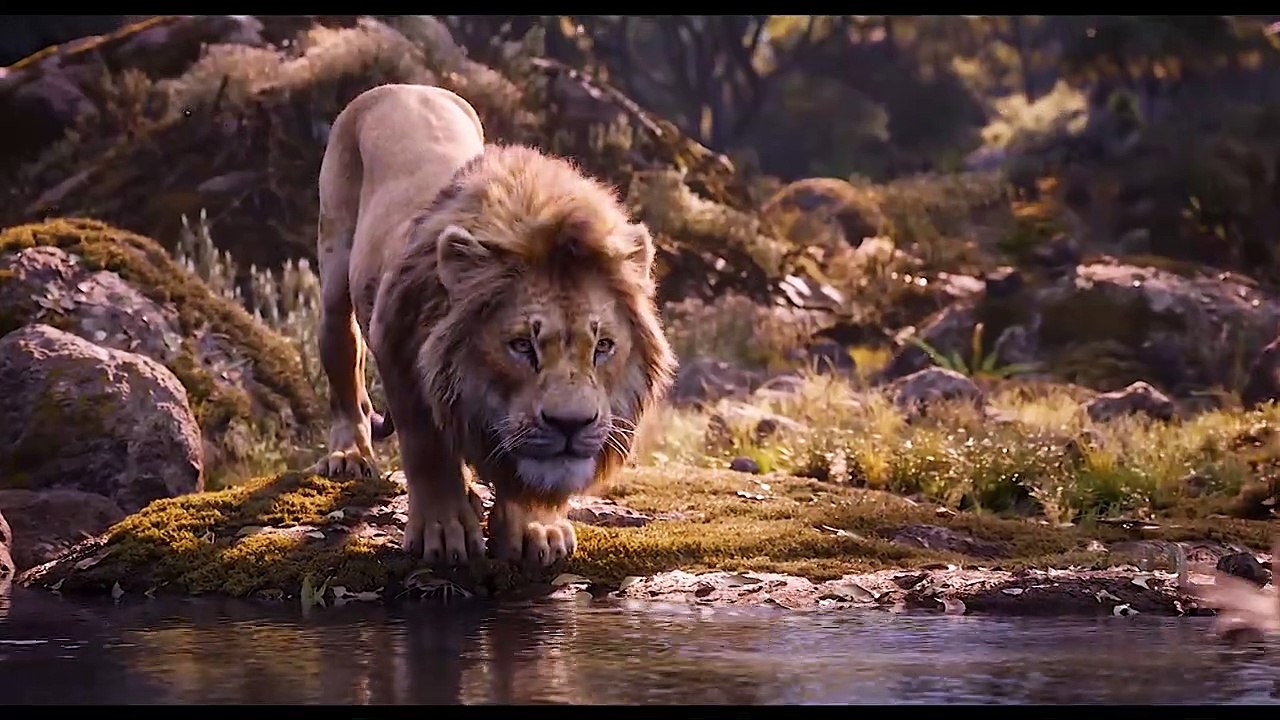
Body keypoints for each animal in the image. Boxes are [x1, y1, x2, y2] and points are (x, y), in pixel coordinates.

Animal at [309, 83, 677, 569]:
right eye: (521, 346)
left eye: (603, 347)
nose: (571, 424)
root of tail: (404, 86)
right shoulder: (398, 350)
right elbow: (427, 449)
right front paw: (443, 531)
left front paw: (537, 528)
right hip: (334, 272)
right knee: (344, 362)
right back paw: (348, 453)